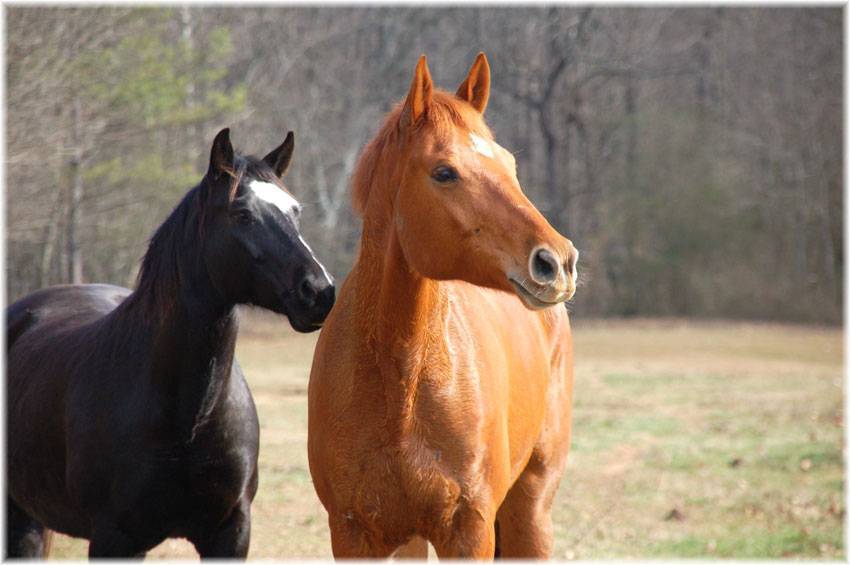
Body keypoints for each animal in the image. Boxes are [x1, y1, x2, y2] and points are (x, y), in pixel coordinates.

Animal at [6, 126, 332, 556]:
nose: (320, 292)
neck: (187, 416)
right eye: (242, 214)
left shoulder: (230, 532)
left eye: (295, 211)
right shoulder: (115, 538)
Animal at [308, 54, 580, 560]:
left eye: (510, 164)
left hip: (530, 510)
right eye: (444, 172)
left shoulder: (468, 530)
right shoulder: (355, 532)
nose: (556, 261)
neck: (402, 379)